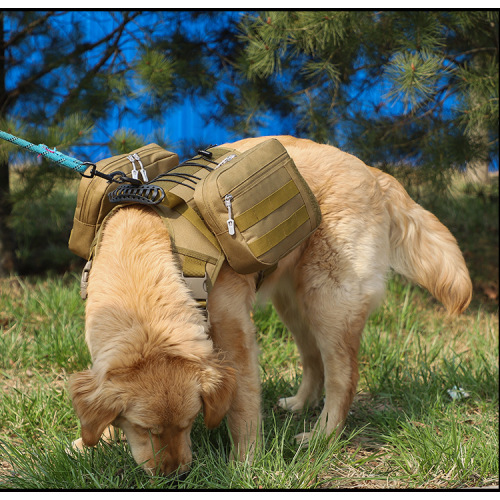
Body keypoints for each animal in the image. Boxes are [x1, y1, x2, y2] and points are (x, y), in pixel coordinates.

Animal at [69, 136, 472, 476]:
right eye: (144, 429)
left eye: (188, 423)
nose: (176, 475)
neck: (147, 257)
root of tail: (371, 171)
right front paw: (92, 441)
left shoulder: (235, 335)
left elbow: (243, 404)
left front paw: (244, 462)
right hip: (293, 304)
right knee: (313, 360)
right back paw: (300, 404)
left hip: (329, 303)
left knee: (343, 378)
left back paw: (322, 436)